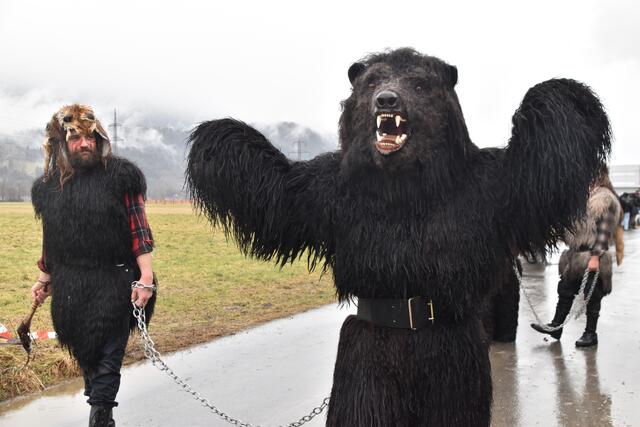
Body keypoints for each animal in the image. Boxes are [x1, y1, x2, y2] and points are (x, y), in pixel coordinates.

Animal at [186, 48, 610, 426]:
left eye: (420, 84)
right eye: (372, 81)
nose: (386, 98)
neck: (403, 186)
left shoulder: (497, 187)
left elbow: (539, 170)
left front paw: (557, 94)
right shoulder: (320, 193)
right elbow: (276, 195)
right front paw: (220, 139)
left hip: (454, 373)